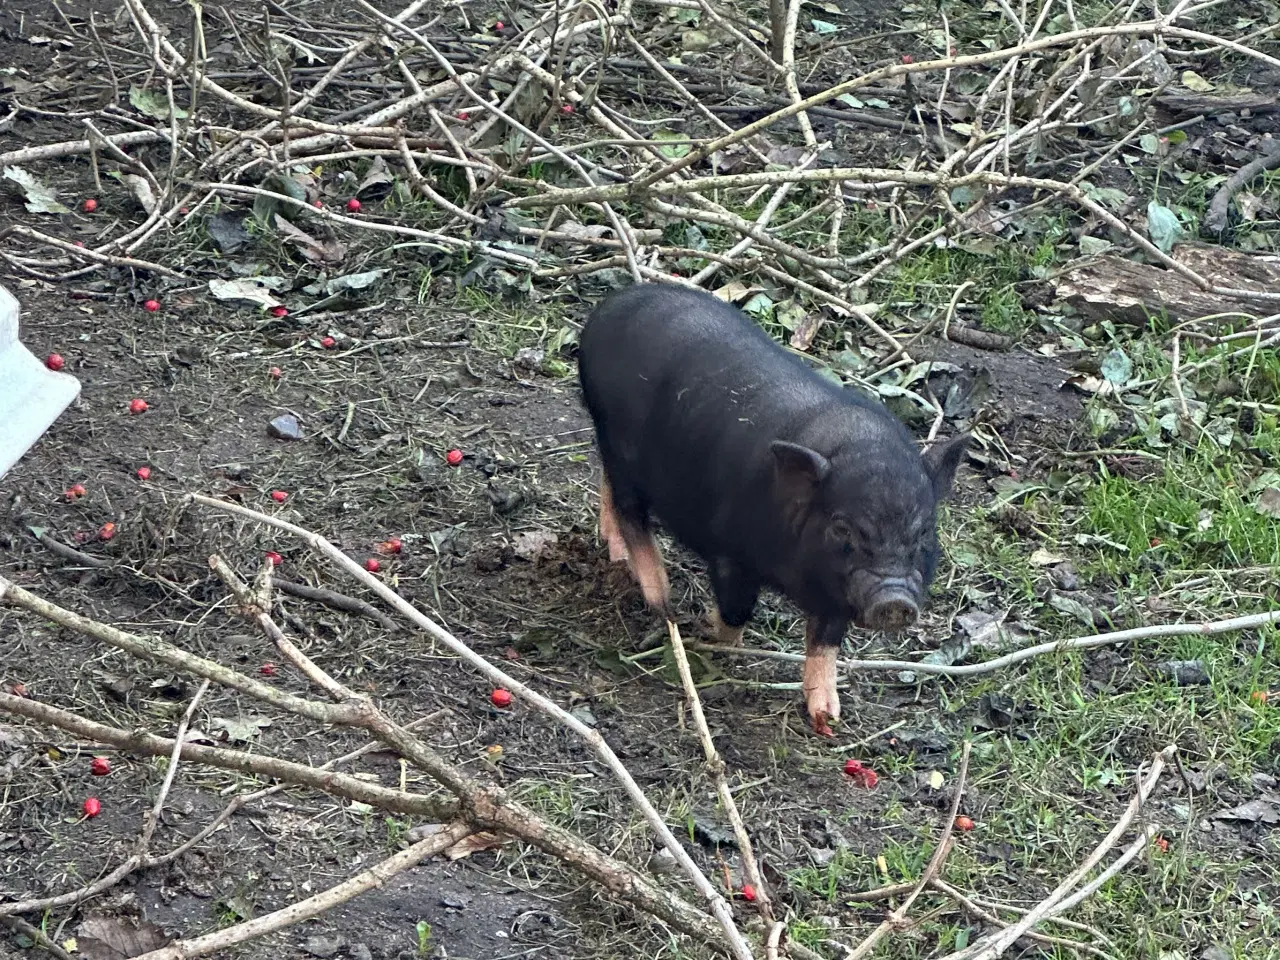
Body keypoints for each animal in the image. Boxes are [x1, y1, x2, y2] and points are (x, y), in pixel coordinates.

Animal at [576, 281, 962, 732]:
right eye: (842, 527)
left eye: (924, 531)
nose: (895, 599)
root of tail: (612, 306)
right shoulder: (728, 551)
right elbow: (737, 609)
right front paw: (712, 635)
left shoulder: (837, 591)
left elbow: (825, 642)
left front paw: (827, 716)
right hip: (618, 441)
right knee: (630, 510)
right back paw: (661, 599)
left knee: (608, 488)